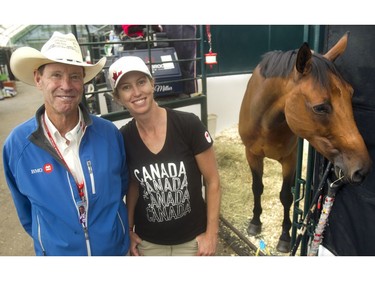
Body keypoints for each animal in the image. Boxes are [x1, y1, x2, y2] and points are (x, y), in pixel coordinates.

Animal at [239, 32, 372, 252]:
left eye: (351, 94)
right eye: (320, 108)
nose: (362, 168)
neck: (266, 123)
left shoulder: (290, 159)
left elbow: (286, 196)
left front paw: (285, 237)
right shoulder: (252, 154)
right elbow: (257, 187)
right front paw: (255, 223)